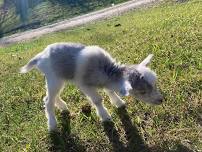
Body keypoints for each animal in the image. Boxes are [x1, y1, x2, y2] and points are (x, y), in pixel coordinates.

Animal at [20, 42, 163, 131]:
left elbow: (110, 91)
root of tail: (40, 57)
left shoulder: (106, 82)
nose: (161, 100)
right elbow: (97, 100)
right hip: (53, 77)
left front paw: (118, 103)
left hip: (58, 79)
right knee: (48, 100)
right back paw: (52, 125)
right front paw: (105, 116)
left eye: (154, 84)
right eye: (142, 92)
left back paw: (63, 107)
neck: (105, 69)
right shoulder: (84, 84)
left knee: (51, 96)